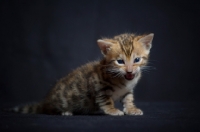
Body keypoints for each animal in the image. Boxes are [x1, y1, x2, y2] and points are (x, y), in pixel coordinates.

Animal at [10, 33, 154, 115]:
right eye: (120, 61)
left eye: (137, 60)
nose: (130, 71)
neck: (123, 80)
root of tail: (46, 101)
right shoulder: (98, 85)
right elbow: (106, 100)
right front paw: (112, 110)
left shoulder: (128, 90)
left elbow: (128, 99)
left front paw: (131, 109)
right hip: (62, 100)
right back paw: (66, 112)